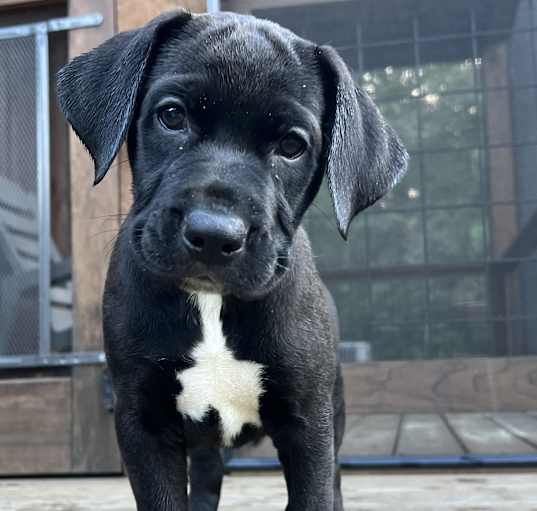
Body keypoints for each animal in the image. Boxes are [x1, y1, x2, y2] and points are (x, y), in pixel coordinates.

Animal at [56, 9, 406, 511]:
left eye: (292, 146)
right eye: (171, 116)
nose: (214, 235)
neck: (211, 303)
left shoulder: (309, 426)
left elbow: (317, 492)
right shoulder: (143, 420)